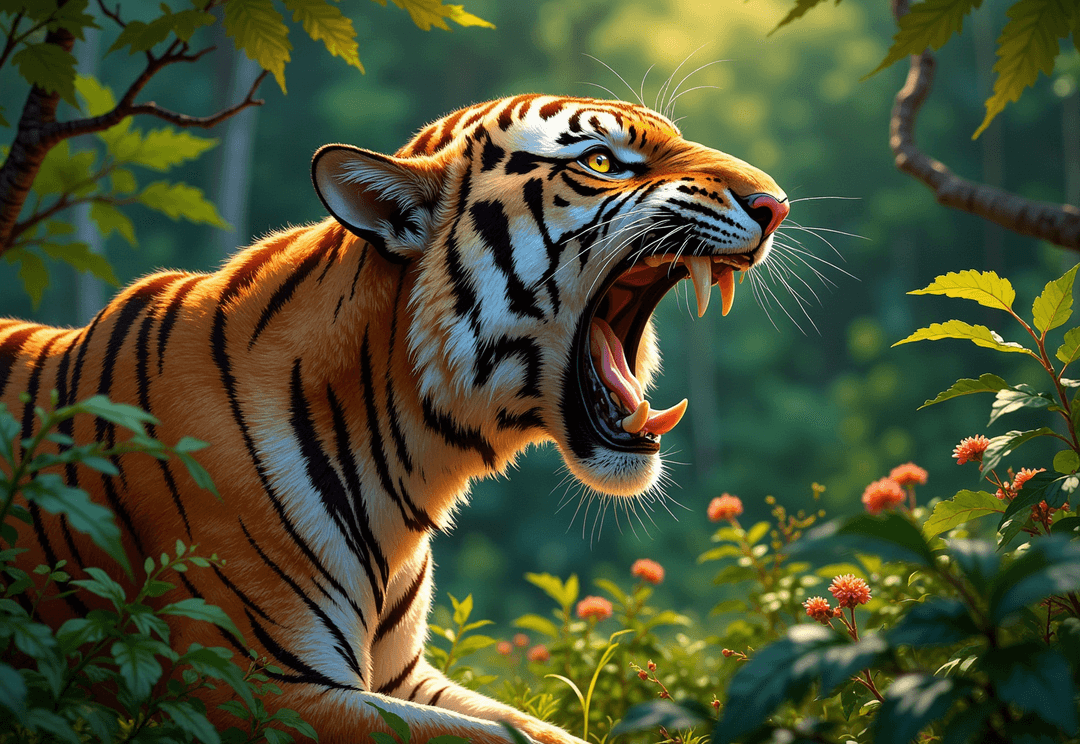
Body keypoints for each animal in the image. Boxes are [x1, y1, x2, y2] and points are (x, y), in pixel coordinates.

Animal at [0, 94, 788, 743]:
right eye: (601, 161)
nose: (775, 204)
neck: (415, 459)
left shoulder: (407, 673)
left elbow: (534, 729)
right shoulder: (251, 680)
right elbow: (491, 739)